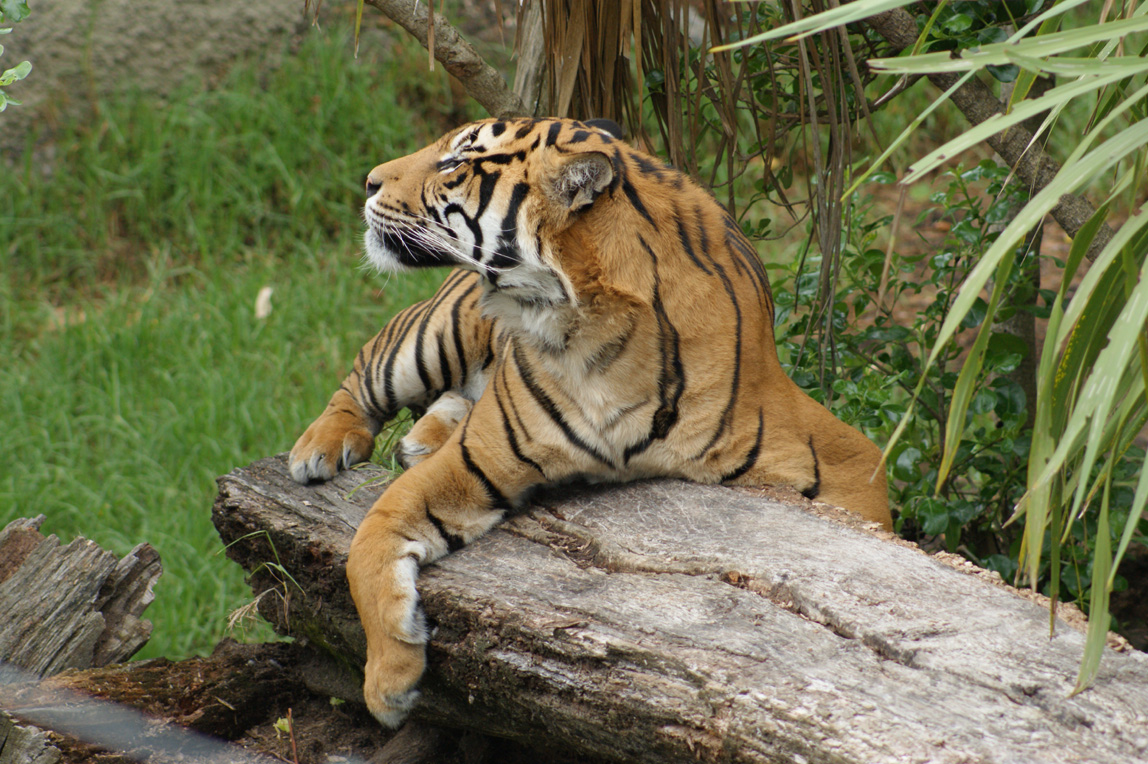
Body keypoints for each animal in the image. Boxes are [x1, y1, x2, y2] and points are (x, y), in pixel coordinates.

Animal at [288, 117, 891, 727]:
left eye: (456, 162)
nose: (367, 181)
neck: (591, 333)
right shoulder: (475, 459)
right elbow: (367, 546)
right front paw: (388, 685)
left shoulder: (835, 449)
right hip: (432, 337)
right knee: (364, 370)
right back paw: (318, 449)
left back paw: (423, 436)